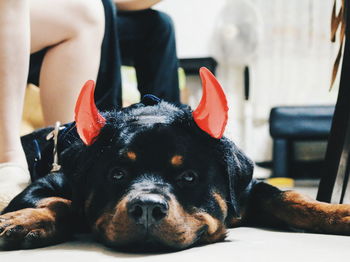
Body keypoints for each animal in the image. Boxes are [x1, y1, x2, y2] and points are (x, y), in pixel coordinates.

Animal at [0, 68, 350, 252]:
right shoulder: (44, 185)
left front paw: (339, 212)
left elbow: (290, 198)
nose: (146, 208)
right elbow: (63, 203)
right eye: (117, 174)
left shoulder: (247, 191)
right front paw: (22, 222)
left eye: (189, 177)